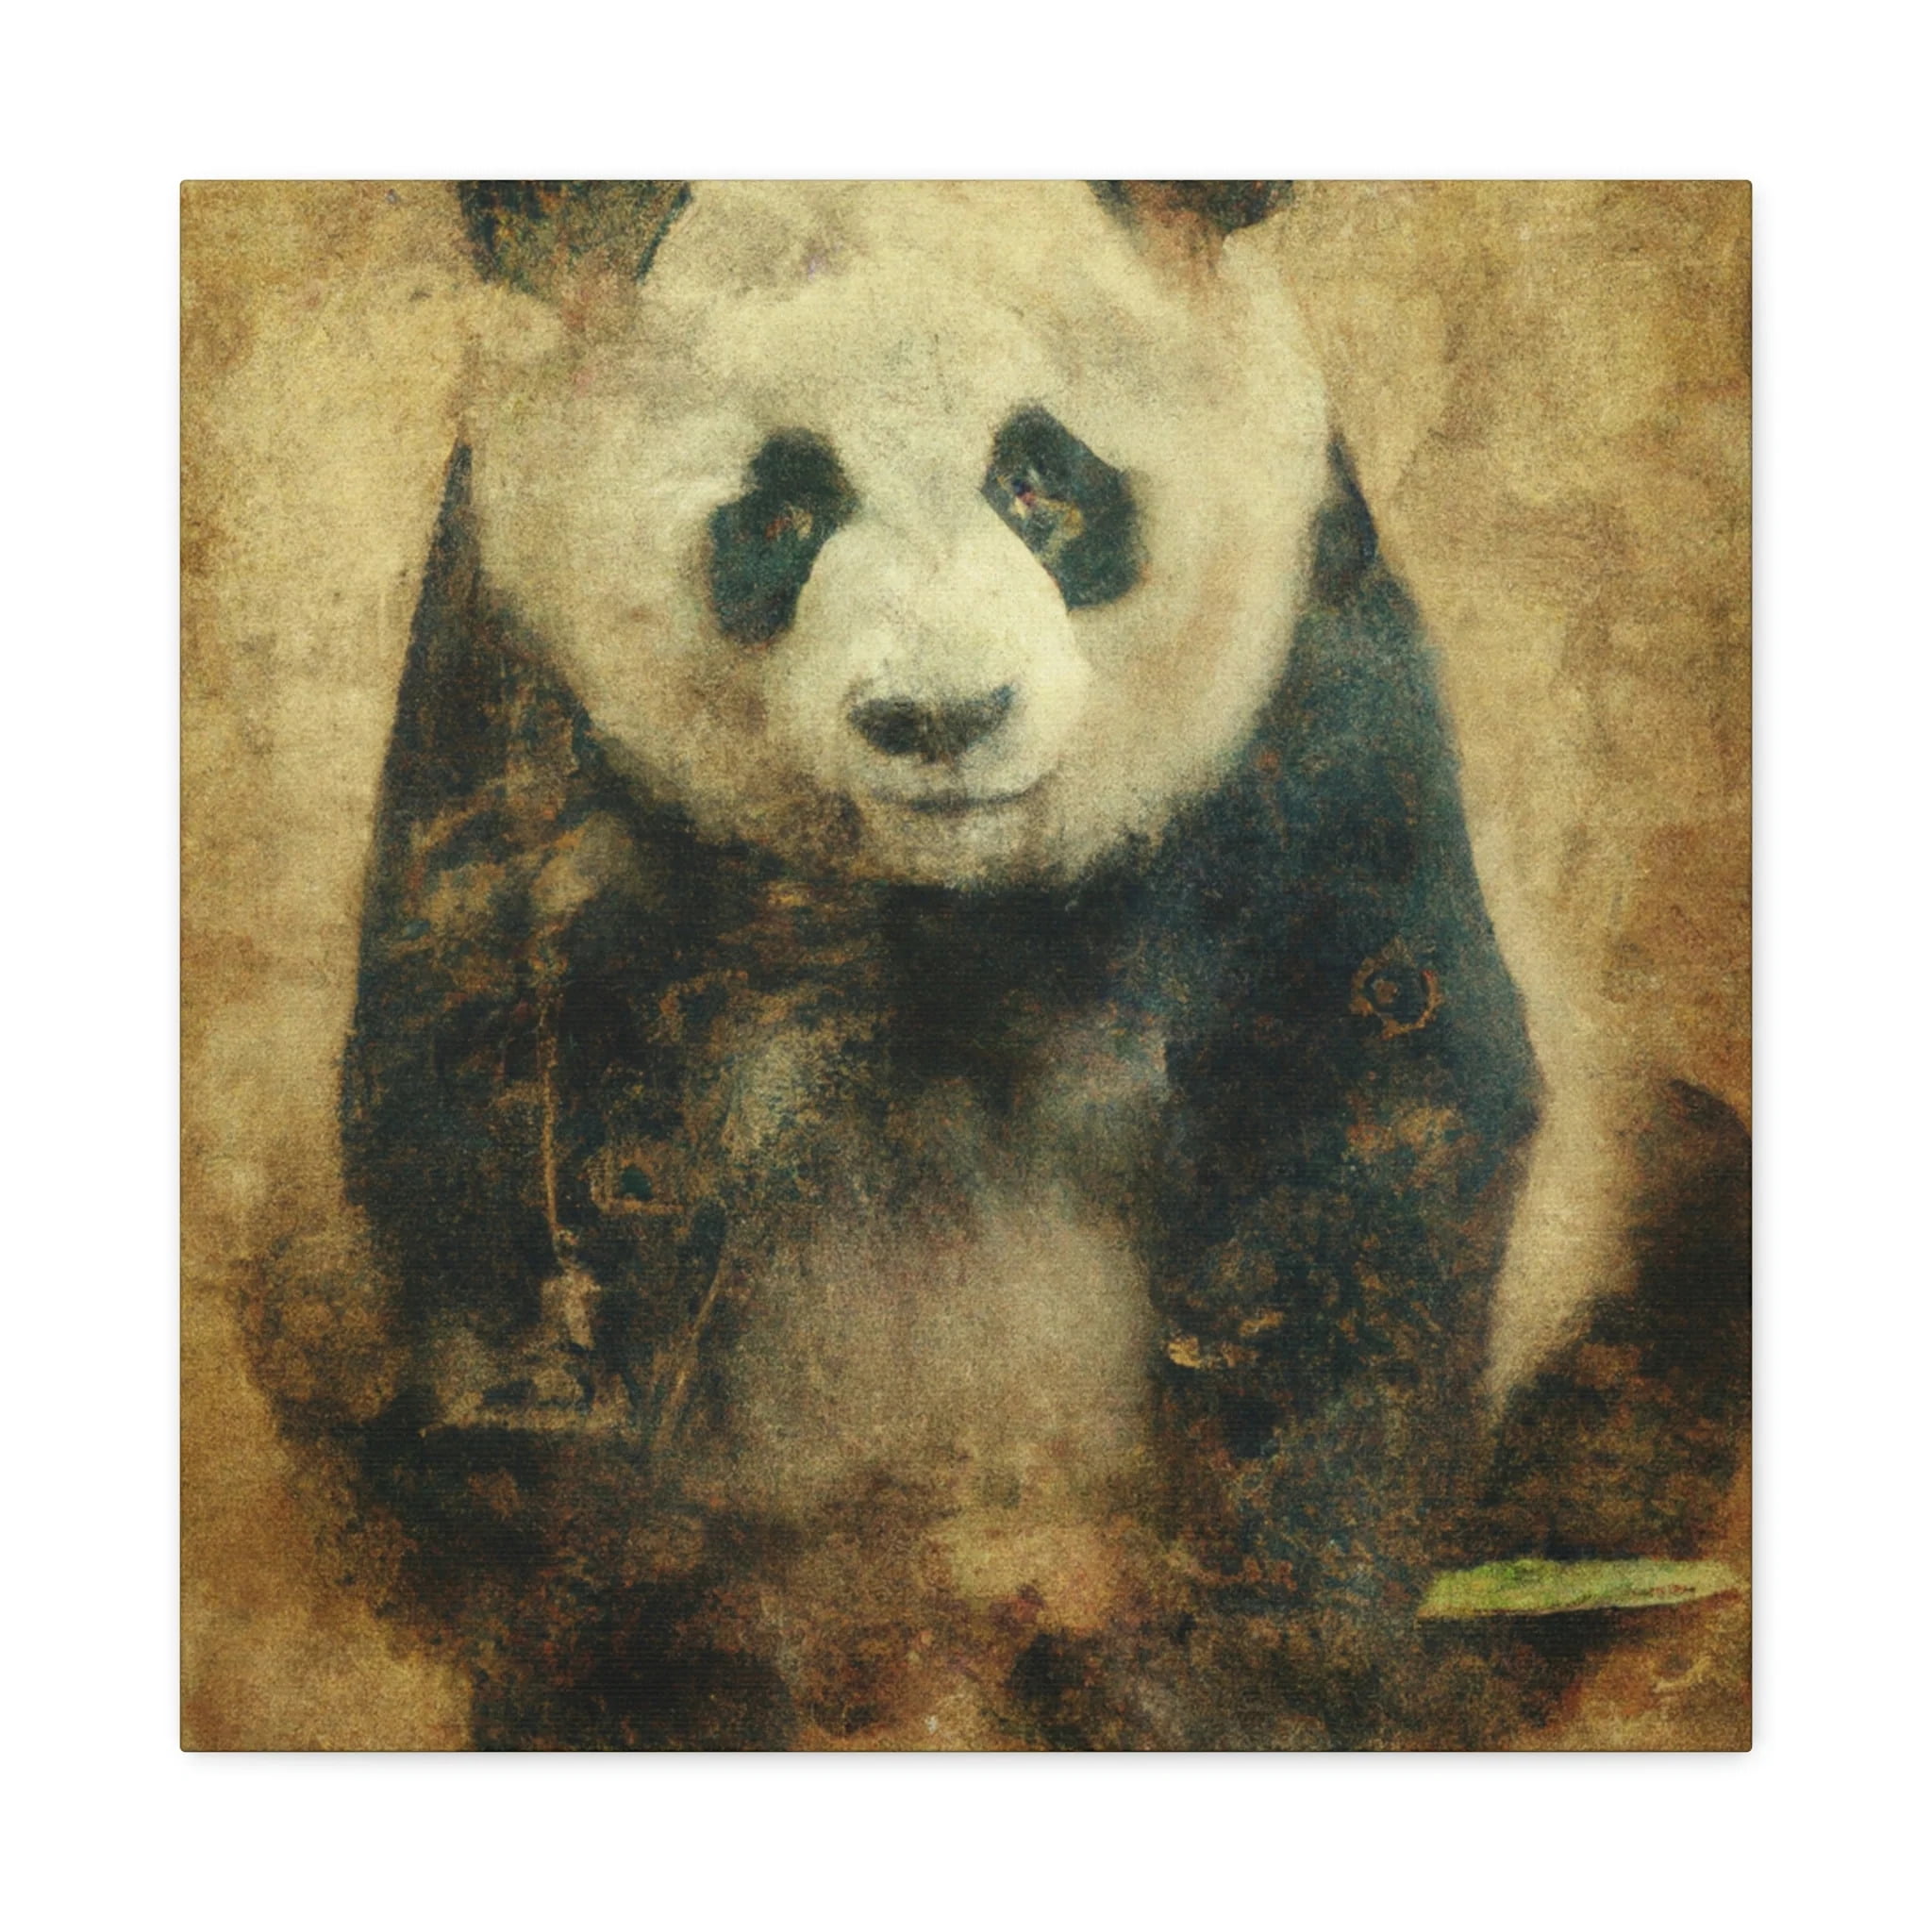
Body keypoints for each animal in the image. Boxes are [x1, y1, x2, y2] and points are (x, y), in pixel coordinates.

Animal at [319, 181, 1740, 1750]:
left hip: (1617, 1224)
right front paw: (655, 1675)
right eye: (784, 509)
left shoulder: (1302, 691)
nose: (940, 720)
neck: (953, 898)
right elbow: (525, 1145)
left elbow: (1365, 1099)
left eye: (1042, 485)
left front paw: (1246, 1672)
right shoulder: (525, 710)